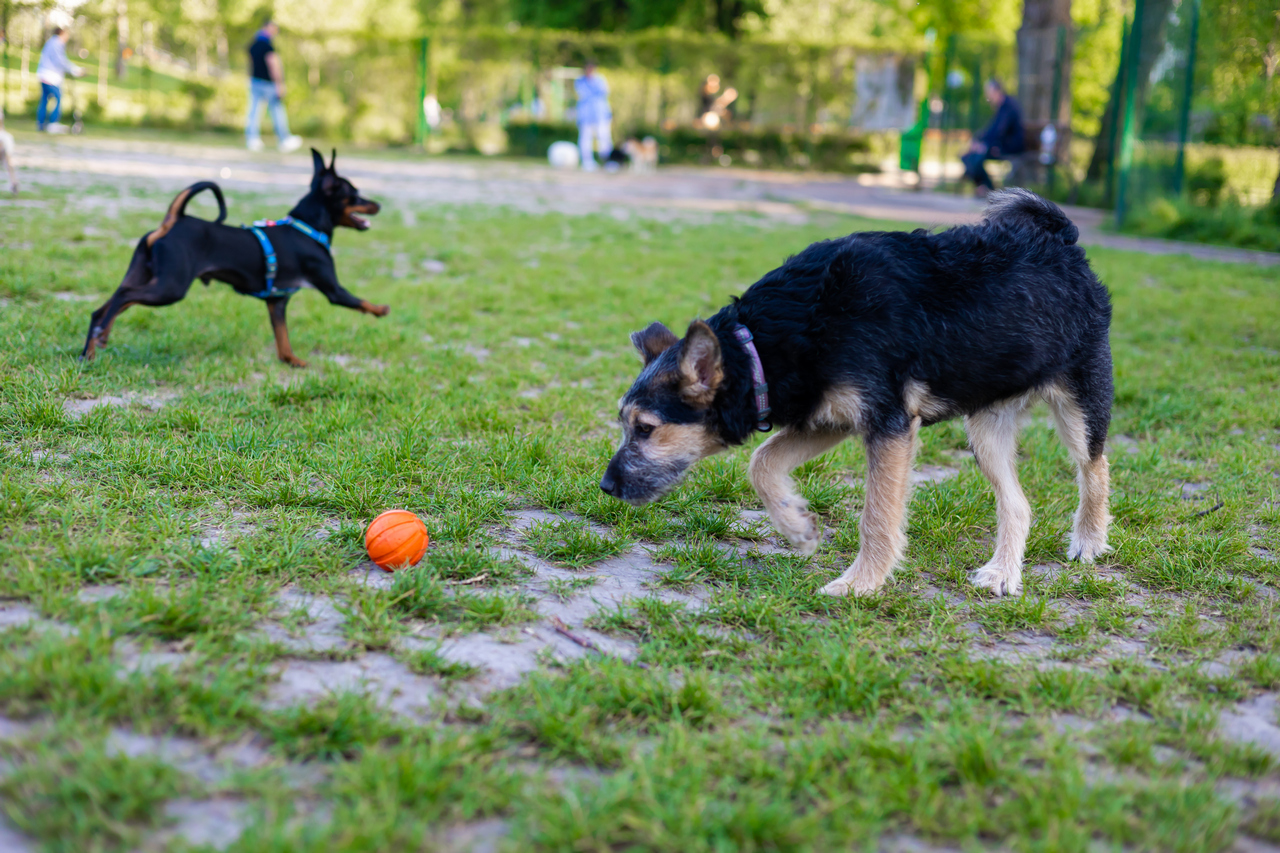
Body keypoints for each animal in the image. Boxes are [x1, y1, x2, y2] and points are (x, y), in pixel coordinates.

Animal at [82, 149, 384, 366]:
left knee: (104, 308)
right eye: (355, 194)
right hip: (171, 287)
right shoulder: (334, 290)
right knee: (124, 298)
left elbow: (283, 339)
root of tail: (173, 221)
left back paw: (89, 354)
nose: (378, 204)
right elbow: (361, 301)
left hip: (143, 275)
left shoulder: (277, 302)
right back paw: (102, 338)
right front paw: (382, 309)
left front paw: (293, 361)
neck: (306, 227)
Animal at [599, 188, 1111, 596]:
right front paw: (797, 527)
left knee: (1095, 468)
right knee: (1018, 503)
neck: (771, 341)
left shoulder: (889, 425)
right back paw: (1003, 573)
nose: (605, 487)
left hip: (1081, 402)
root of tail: (1063, 241)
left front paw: (860, 584)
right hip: (986, 426)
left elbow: (877, 516)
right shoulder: (829, 417)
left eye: (645, 429)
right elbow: (761, 462)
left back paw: (1088, 540)